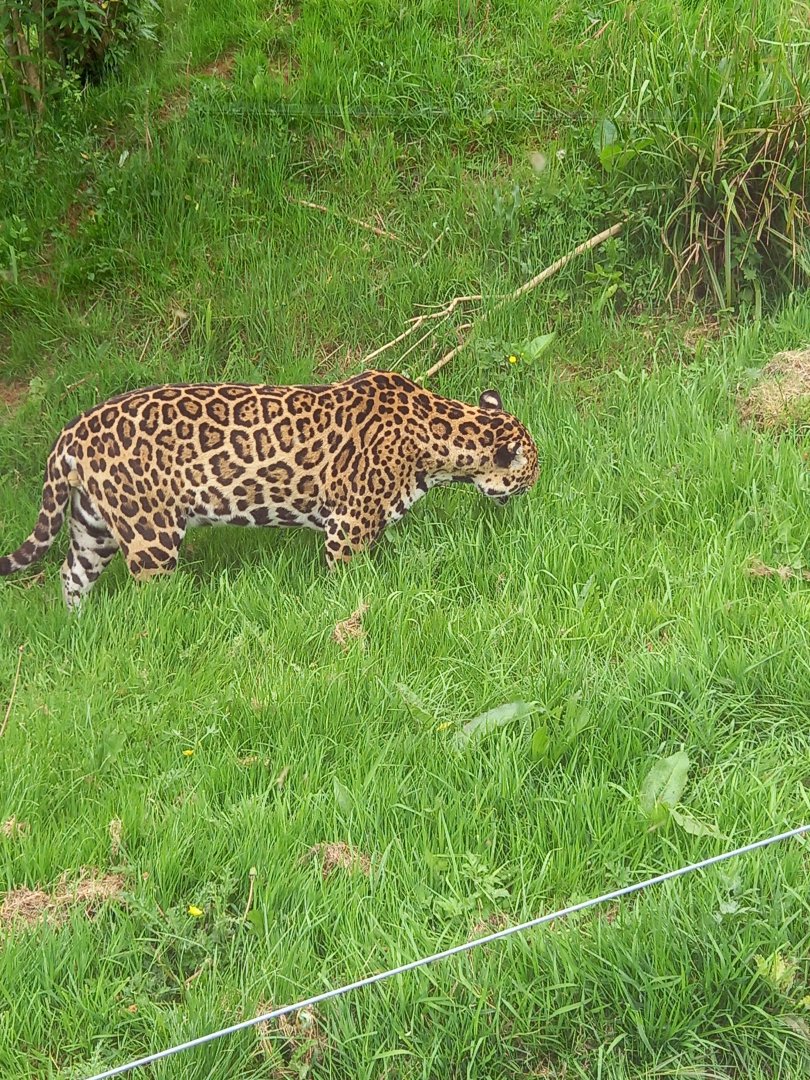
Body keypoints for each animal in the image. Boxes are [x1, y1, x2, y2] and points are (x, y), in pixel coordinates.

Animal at [0, 369, 539, 609]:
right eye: (530, 472)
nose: (534, 488)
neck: (440, 435)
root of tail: (71, 433)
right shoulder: (346, 528)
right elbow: (348, 580)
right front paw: (352, 613)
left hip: (94, 527)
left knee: (71, 575)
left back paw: (80, 629)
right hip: (149, 534)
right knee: (152, 597)